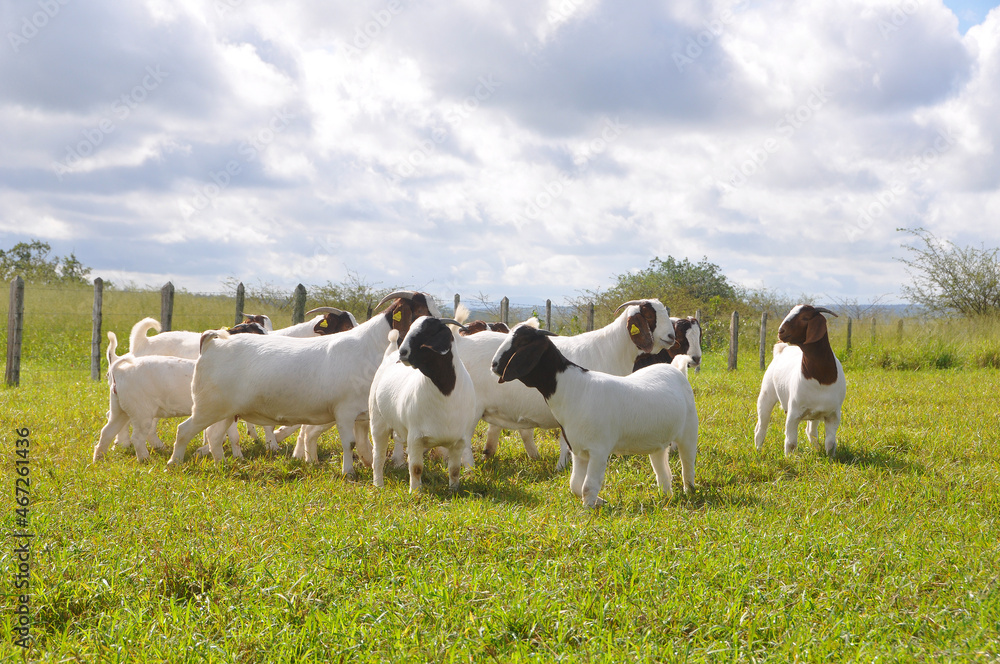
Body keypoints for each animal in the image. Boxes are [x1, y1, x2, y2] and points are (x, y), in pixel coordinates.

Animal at [167, 291, 439, 475]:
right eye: (422, 313)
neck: (371, 348)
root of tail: (213, 343)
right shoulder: (344, 410)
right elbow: (349, 442)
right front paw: (348, 473)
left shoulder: (363, 414)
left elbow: (365, 444)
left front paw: (371, 466)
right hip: (207, 407)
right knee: (184, 429)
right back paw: (174, 462)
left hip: (225, 411)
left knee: (214, 436)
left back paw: (221, 464)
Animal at [369, 317, 478, 492]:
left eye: (429, 331)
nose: (402, 353)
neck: (445, 394)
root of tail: (389, 354)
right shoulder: (415, 437)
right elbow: (416, 467)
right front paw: (415, 492)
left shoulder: (459, 440)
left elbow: (454, 469)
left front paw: (453, 490)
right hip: (378, 422)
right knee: (378, 456)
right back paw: (378, 485)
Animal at [454, 299, 675, 470]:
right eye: (649, 315)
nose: (671, 337)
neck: (608, 349)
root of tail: (461, 341)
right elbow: (566, 443)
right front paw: (562, 467)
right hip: (471, 409)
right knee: (463, 442)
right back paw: (470, 469)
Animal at [491, 324, 698, 507]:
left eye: (522, 342)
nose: (494, 365)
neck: (573, 387)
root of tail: (676, 370)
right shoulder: (578, 450)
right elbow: (575, 485)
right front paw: (601, 502)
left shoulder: (599, 450)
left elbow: (587, 487)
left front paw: (590, 510)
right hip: (657, 441)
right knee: (662, 471)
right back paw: (666, 496)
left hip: (689, 431)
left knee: (687, 465)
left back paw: (688, 492)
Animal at [754, 305, 846, 457]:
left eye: (805, 318)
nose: (781, 331)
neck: (822, 378)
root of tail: (782, 350)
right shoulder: (793, 412)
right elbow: (791, 443)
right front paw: (789, 459)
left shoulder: (833, 414)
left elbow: (831, 443)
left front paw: (830, 458)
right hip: (766, 394)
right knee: (760, 428)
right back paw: (758, 451)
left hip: (815, 414)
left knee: (811, 432)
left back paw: (816, 450)